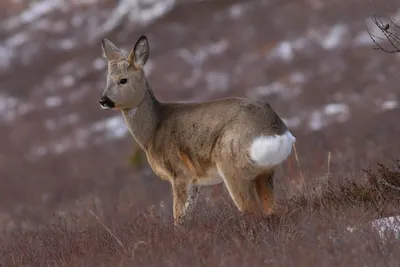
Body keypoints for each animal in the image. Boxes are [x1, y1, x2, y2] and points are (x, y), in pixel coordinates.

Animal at [98, 34, 296, 225]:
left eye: (123, 80)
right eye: (106, 80)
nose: (103, 100)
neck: (153, 130)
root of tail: (275, 130)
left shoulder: (179, 173)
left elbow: (179, 219)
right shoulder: (195, 180)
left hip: (231, 166)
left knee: (252, 211)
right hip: (265, 172)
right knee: (271, 210)